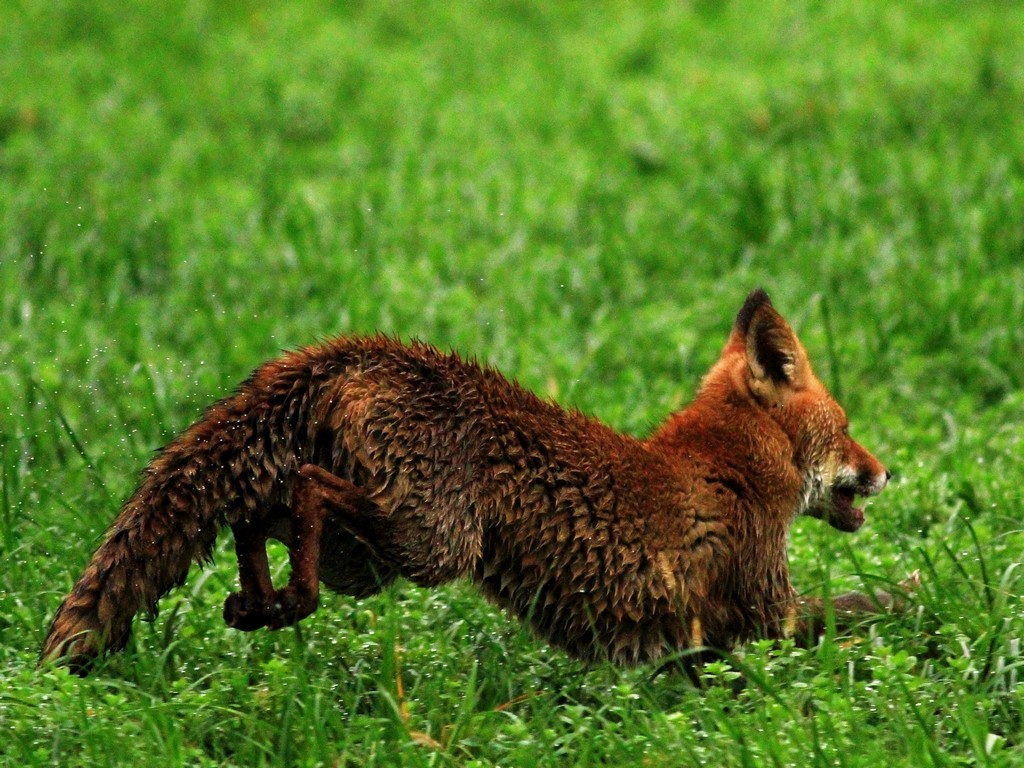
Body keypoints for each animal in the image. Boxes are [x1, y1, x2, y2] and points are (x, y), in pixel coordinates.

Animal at [41, 288, 905, 671]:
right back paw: (289, 600)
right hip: (429, 544)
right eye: (846, 426)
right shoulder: (765, 611)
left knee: (256, 513)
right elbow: (863, 610)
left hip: (371, 557)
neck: (730, 462)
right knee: (305, 491)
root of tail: (367, 353)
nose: (885, 472)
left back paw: (261, 603)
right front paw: (916, 607)